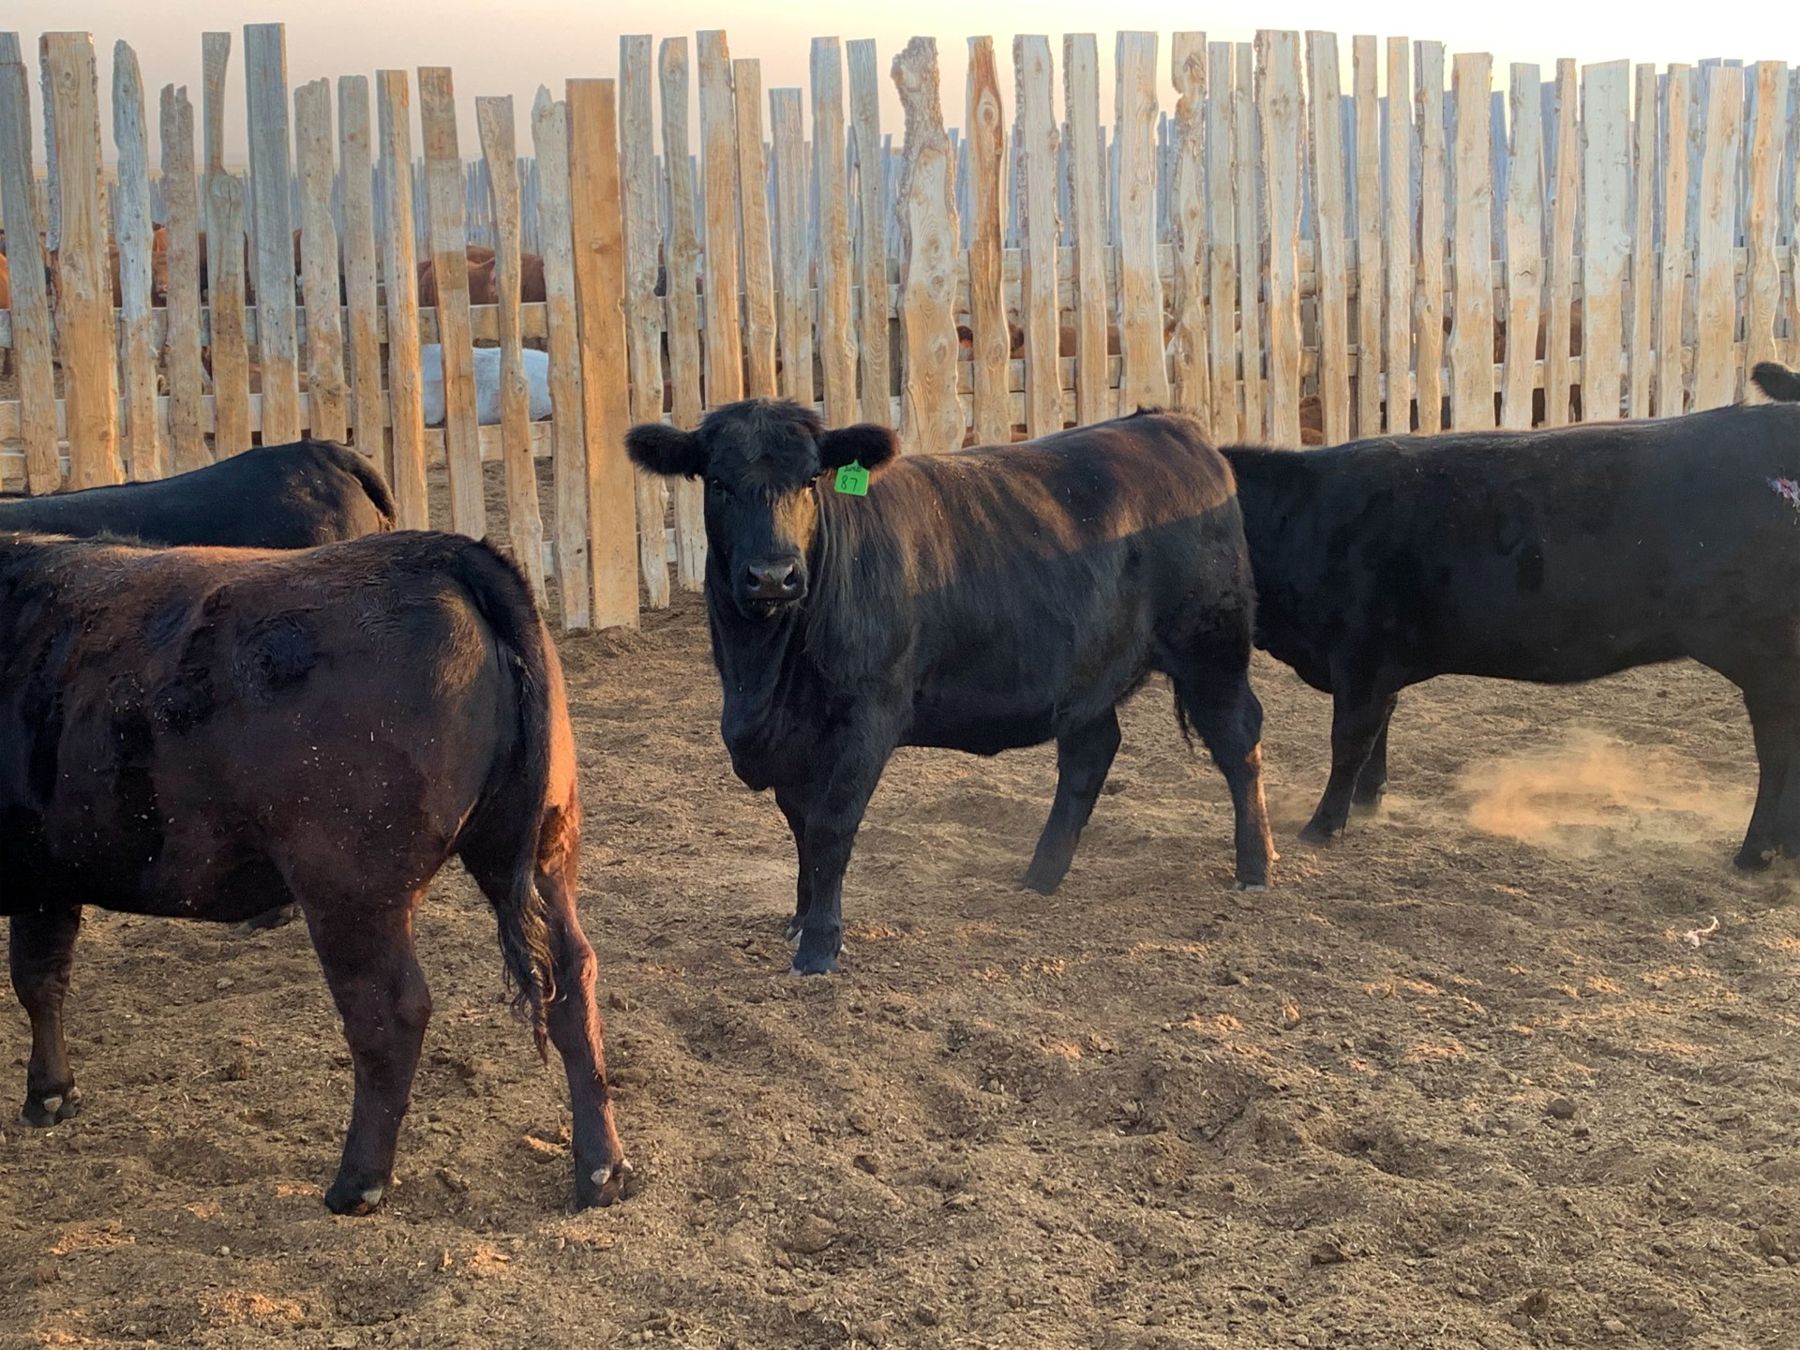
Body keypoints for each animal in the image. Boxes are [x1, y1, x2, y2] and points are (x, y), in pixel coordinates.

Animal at [0, 530, 629, 1212]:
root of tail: (440, 550)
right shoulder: (45, 875)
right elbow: (42, 978)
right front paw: (51, 1093)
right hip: (539, 847)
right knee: (571, 975)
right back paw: (602, 1170)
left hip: (348, 887)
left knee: (390, 1013)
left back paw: (358, 1182)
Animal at [626, 400, 1275, 975]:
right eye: (718, 483)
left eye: (811, 479)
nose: (772, 575)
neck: (760, 674)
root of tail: (1172, 426)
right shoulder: (790, 742)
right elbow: (801, 829)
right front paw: (799, 919)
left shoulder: (867, 717)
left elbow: (831, 828)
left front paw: (819, 947)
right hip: (1087, 670)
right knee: (1091, 754)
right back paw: (1041, 877)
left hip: (1210, 648)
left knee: (1239, 742)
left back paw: (1255, 867)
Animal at [1222, 364, 1800, 868]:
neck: (1305, 518)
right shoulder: (1374, 667)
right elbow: (1377, 736)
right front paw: (1368, 803)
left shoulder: (1362, 657)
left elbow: (1350, 741)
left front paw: (1323, 825)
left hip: (1765, 661)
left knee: (1777, 754)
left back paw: (1755, 854)